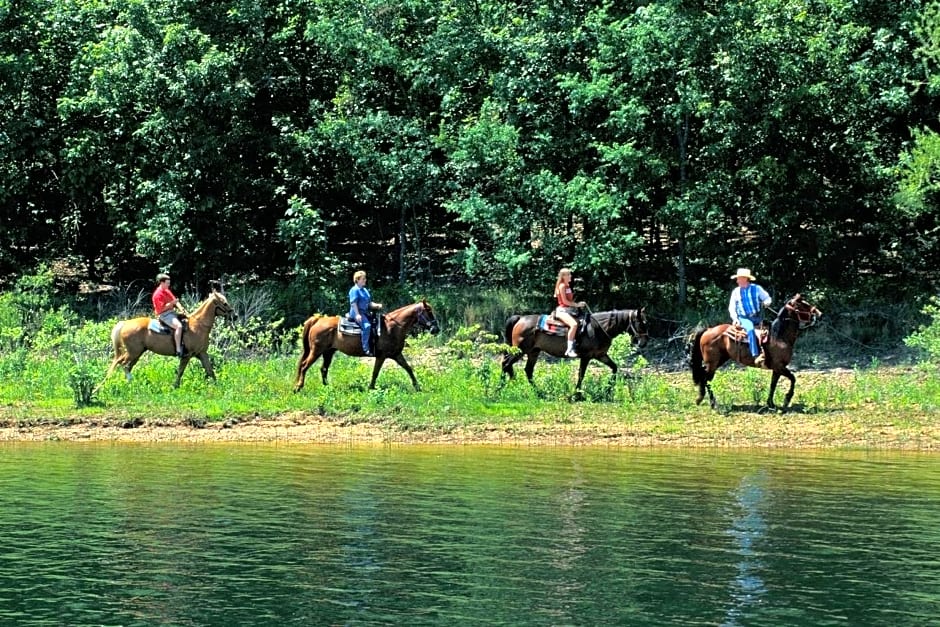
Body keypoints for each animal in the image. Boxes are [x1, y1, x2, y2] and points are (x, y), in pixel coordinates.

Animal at [98, 288, 237, 388]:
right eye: (224, 303)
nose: (234, 316)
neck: (198, 325)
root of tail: (125, 323)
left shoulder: (202, 353)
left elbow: (210, 371)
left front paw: (218, 387)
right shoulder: (187, 355)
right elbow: (180, 371)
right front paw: (175, 386)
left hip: (137, 353)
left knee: (126, 365)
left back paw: (128, 383)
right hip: (133, 352)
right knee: (123, 364)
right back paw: (130, 382)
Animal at [294, 300, 440, 392]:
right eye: (429, 311)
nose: (436, 329)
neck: (392, 327)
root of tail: (318, 320)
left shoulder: (396, 354)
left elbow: (408, 368)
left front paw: (417, 387)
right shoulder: (382, 356)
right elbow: (375, 372)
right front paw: (371, 388)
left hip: (328, 352)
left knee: (323, 369)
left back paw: (327, 387)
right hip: (316, 351)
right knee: (304, 366)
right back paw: (298, 387)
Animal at [504, 310, 648, 392]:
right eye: (641, 323)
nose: (644, 342)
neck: (598, 328)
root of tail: (520, 318)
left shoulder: (601, 355)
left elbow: (614, 368)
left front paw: (608, 389)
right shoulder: (586, 356)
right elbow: (581, 374)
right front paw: (577, 394)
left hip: (533, 352)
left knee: (527, 370)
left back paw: (537, 391)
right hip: (520, 350)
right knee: (506, 364)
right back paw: (504, 387)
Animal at [692, 294, 824, 412]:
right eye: (803, 304)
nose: (819, 313)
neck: (779, 336)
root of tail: (708, 330)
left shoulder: (777, 369)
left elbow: (773, 385)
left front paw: (771, 404)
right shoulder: (780, 366)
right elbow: (793, 378)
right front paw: (787, 399)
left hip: (719, 360)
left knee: (704, 377)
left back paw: (702, 399)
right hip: (712, 363)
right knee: (706, 379)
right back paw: (711, 403)